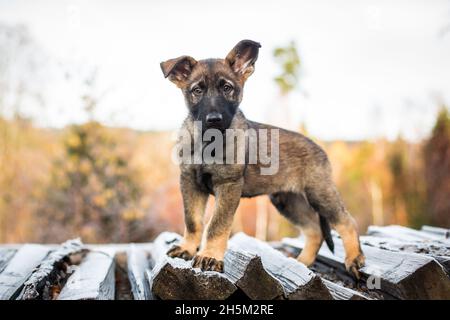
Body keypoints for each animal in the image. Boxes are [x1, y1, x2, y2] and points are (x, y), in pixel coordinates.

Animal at [160, 40, 364, 278]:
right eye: (197, 90)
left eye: (227, 88)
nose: (214, 119)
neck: (208, 142)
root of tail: (320, 148)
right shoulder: (190, 183)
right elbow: (192, 221)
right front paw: (187, 248)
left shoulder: (228, 185)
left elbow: (217, 225)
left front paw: (210, 256)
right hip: (288, 200)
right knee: (314, 230)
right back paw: (301, 262)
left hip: (319, 193)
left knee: (346, 221)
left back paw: (354, 259)